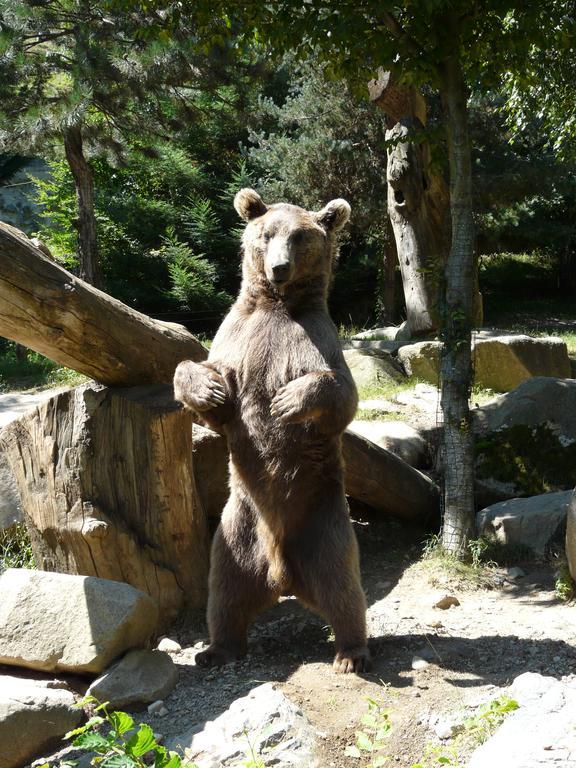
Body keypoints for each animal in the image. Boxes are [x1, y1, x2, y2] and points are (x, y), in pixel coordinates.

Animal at [173, 188, 368, 672]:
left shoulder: (313, 340)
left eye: (300, 237)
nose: (279, 267)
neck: (276, 306)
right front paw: (208, 389)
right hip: (235, 528)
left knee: (342, 585)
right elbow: (202, 379)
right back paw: (216, 649)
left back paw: (351, 653)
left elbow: (340, 393)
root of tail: (282, 575)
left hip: (323, 519)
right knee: (225, 591)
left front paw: (287, 401)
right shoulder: (237, 338)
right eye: (266, 234)